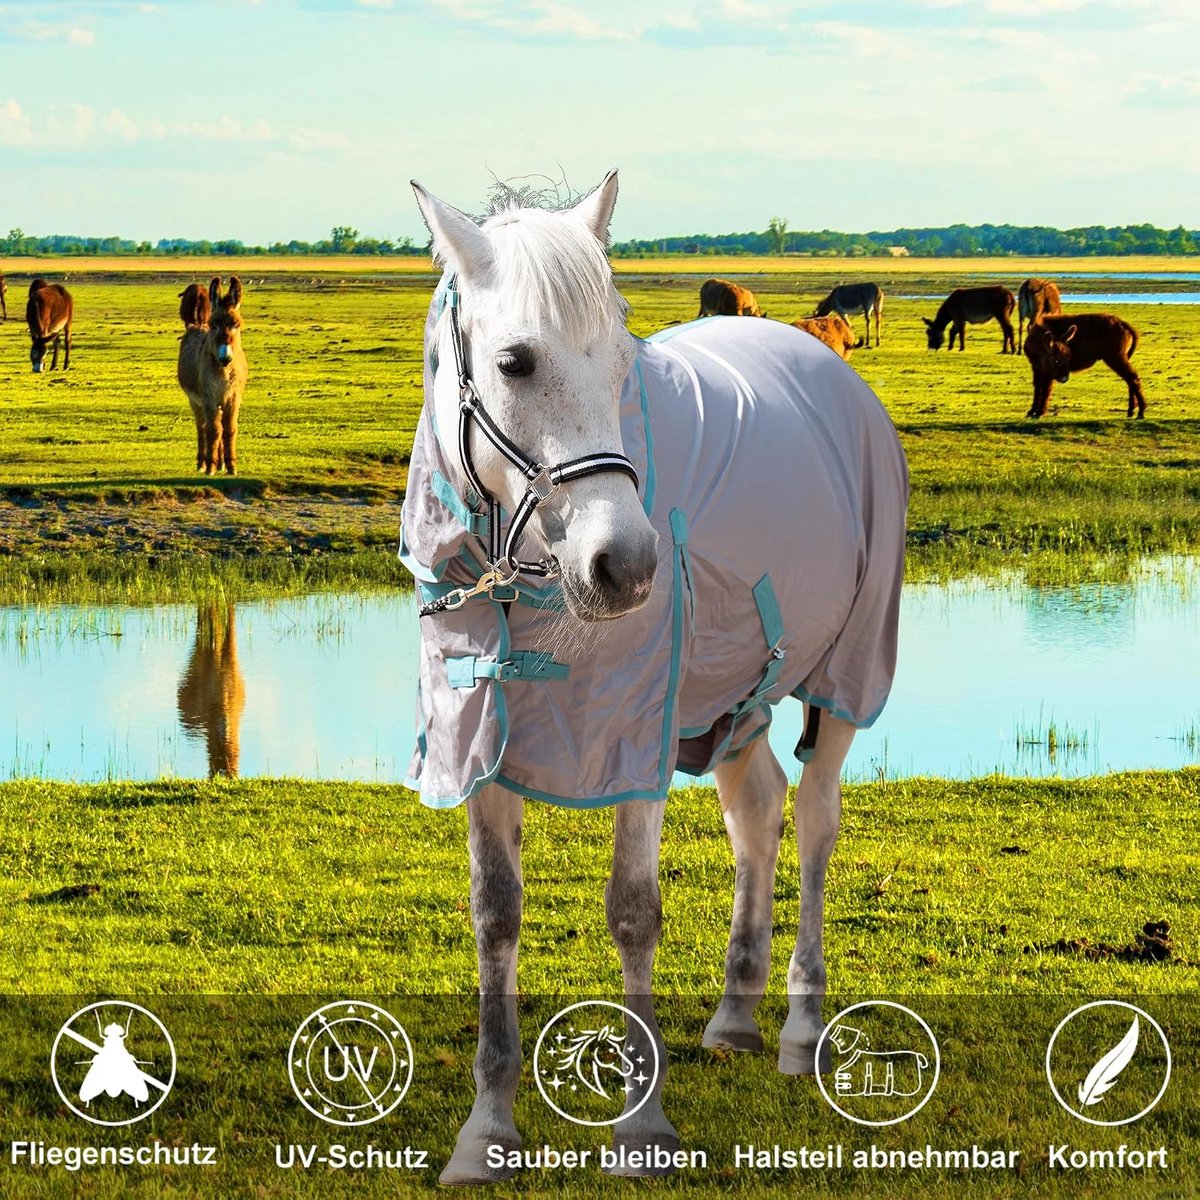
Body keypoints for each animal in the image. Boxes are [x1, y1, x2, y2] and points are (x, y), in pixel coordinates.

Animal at [177, 276, 247, 474]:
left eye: (236, 325)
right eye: (213, 325)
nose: (225, 358)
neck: (224, 373)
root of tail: (196, 325)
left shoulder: (233, 398)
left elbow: (229, 429)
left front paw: (231, 466)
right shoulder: (208, 399)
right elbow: (213, 431)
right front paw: (210, 467)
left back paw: (221, 462)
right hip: (195, 401)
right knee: (201, 427)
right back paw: (203, 463)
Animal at [403, 171, 907, 1185]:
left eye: (621, 361)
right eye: (514, 362)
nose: (626, 566)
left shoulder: (635, 735)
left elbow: (633, 913)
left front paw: (641, 1130)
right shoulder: (479, 739)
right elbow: (494, 916)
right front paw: (487, 1130)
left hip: (840, 679)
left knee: (815, 821)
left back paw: (799, 1028)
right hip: (729, 700)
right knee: (758, 810)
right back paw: (735, 1013)